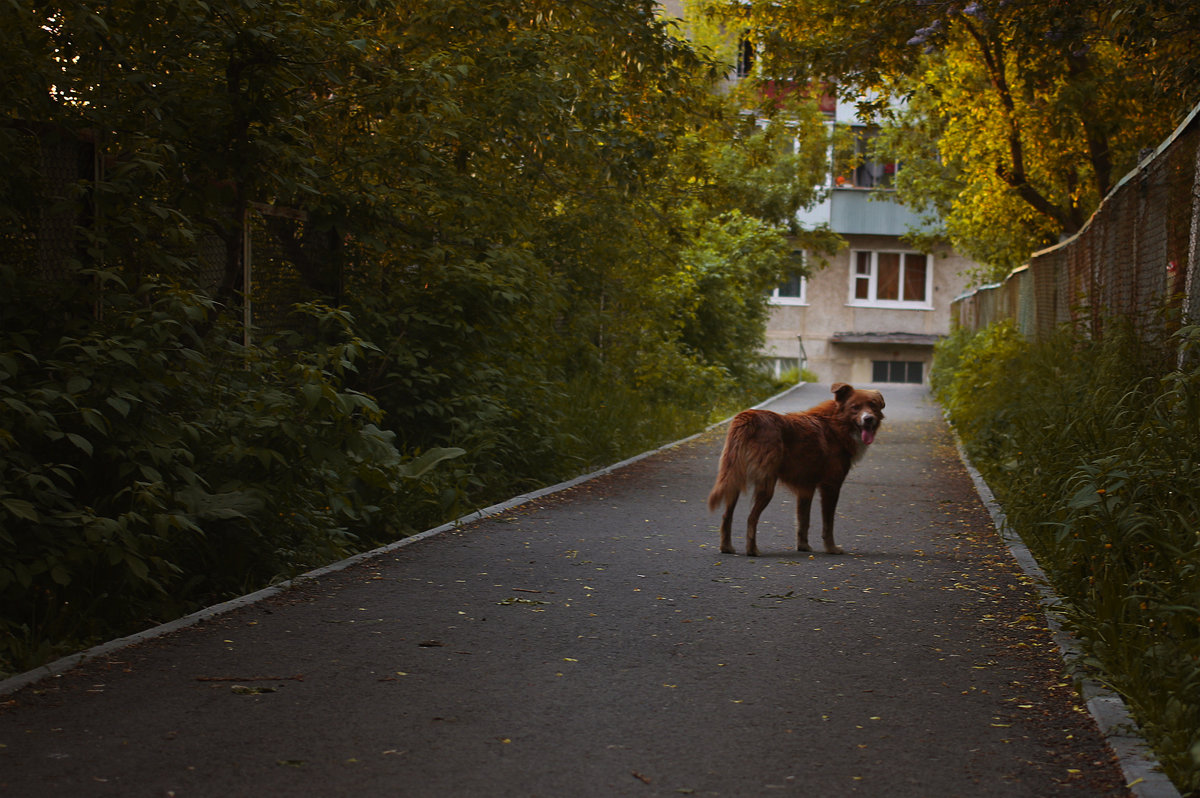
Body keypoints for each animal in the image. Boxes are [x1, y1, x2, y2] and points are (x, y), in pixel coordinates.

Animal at [700, 384, 883, 556]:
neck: (836, 424)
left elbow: (803, 520)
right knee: (751, 518)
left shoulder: (806, 488)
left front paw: (803, 546)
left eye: (873, 406)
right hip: (766, 485)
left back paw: (726, 547)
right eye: (855, 407)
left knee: (726, 516)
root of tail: (748, 417)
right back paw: (752, 550)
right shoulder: (831, 486)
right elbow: (828, 523)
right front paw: (831, 548)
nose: (869, 419)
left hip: (734, 478)